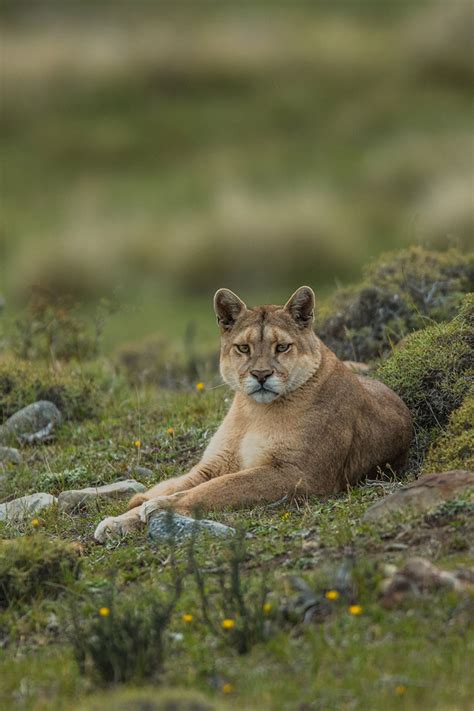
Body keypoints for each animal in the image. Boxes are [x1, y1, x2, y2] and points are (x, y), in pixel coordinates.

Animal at [94, 286, 412, 542]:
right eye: (243, 348)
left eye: (281, 347)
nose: (260, 375)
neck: (254, 412)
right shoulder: (215, 464)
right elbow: (189, 483)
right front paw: (119, 521)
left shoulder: (297, 473)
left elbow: (217, 489)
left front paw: (160, 507)